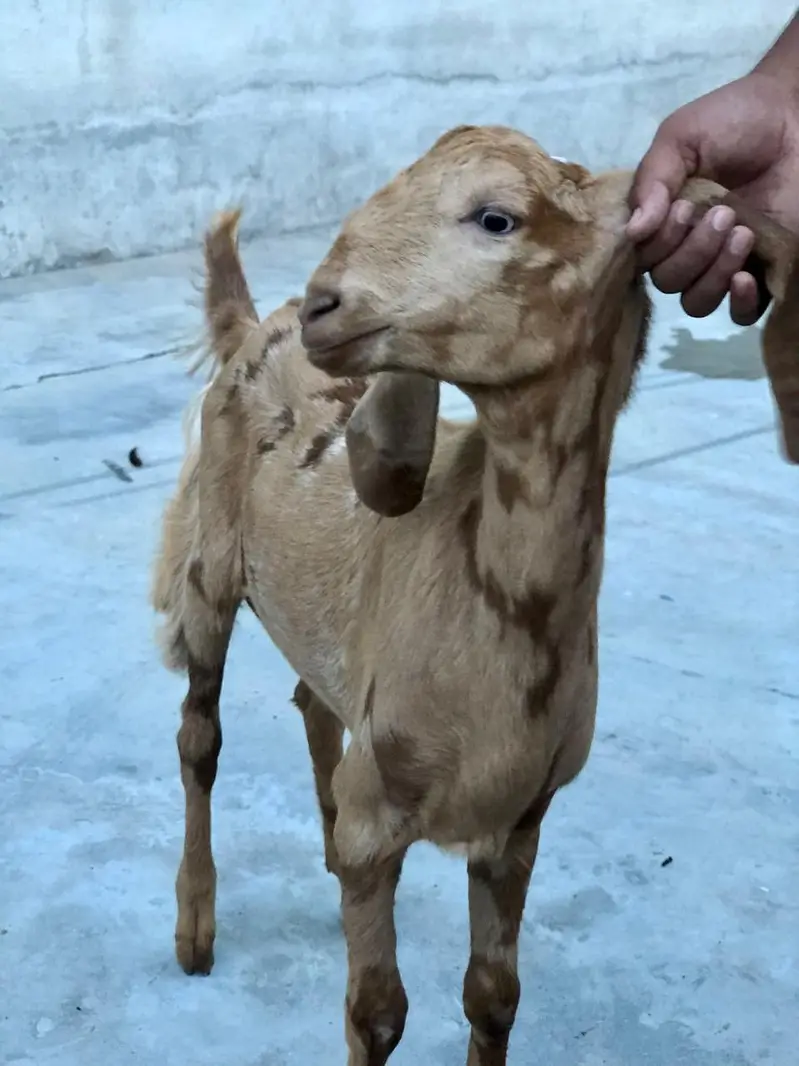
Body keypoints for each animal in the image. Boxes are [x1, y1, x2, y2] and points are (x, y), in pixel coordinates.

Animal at [151, 125, 799, 1066]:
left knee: (312, 702)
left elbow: (493, 998)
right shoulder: (381, 812)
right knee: (200, 735)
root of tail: (249, 324)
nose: (323, 308)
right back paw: (195, 927)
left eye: (496, 218)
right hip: (209, 559)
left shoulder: (519, 822)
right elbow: (377, 1013)